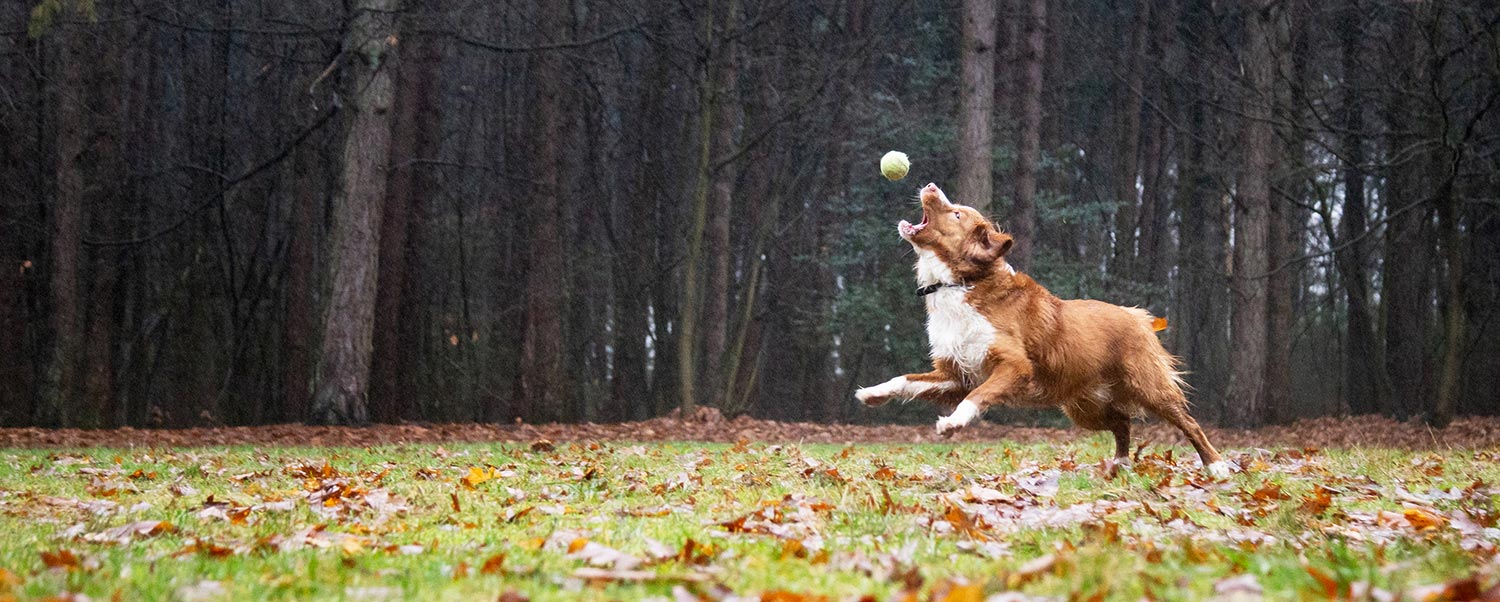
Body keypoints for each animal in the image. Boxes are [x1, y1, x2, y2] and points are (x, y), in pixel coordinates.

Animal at [858, 183, 1230, 474]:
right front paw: (874, 393)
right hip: (1083, 408)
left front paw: (953, 423)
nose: (931, 185)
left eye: (958, 214)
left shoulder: (1013, 366)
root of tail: (1137, 316)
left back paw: (1216, 466)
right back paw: (1120, 464)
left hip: (1148, 387)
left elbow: (977, 396)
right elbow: (906, 380)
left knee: (1189, 423)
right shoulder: (955, 373)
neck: (960, 283)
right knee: (1121, 423)